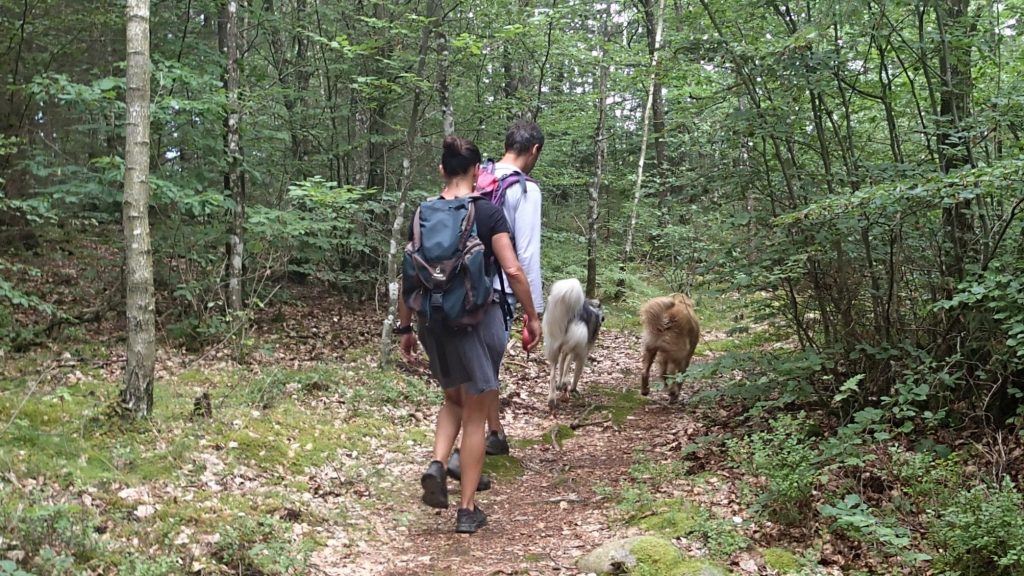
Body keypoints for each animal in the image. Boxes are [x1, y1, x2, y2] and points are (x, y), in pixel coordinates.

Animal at [540, 276, 602, 407]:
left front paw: (561, 384)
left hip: (553, 344)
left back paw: (552, 397)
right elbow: (576, 371)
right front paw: (572, 388)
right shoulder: (583, 353)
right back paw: (565, 383)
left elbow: (561, 365)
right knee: (568, 360)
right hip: (577, 342)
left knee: (553, 372)